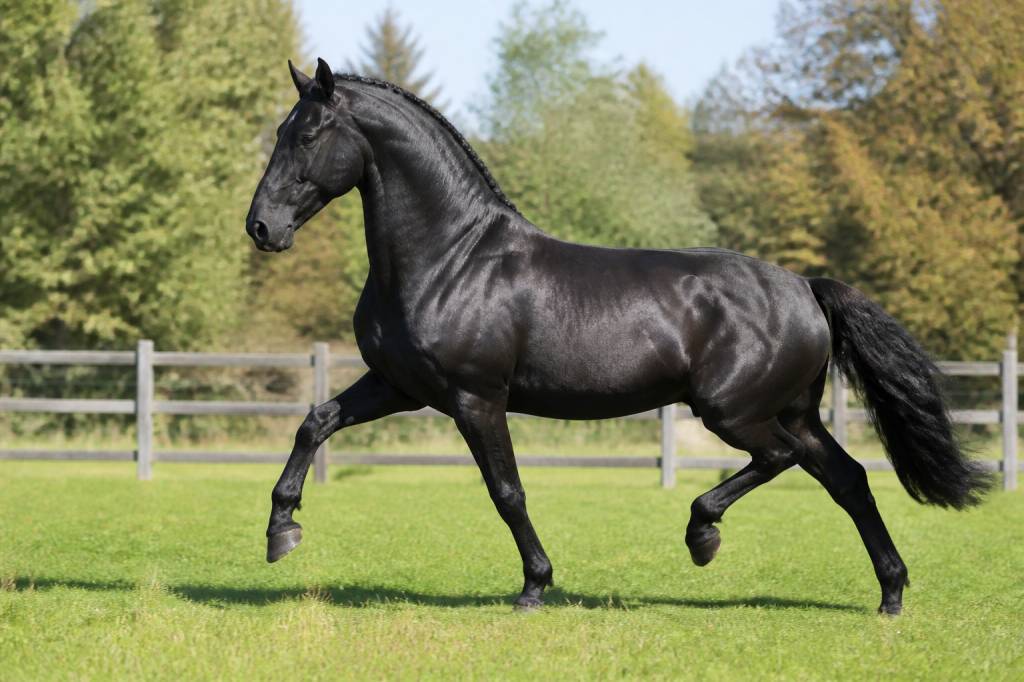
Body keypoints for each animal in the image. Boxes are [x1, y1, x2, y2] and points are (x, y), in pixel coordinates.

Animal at [245, 58, 990, 615]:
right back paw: (891, 594)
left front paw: (535, 585)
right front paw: (282, 530)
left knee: (780, 462)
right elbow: (314, 422)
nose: (262, 228)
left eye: (308, 134)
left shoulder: (474, 398)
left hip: (733, 411)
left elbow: (507, 491)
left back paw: (703, 535)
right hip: (792, 411)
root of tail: (805, 287)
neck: (451, 258)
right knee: (848, 479)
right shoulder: (399, 385)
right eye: (282, 128)